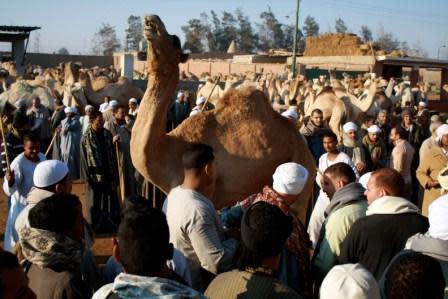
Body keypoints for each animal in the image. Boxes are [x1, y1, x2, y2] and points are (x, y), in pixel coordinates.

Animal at [130, 15, 316, 223]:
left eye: (175, 41)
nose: (151, 19)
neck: (169, 149)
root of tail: (305, 147)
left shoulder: (207, 189)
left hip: (302, 176)